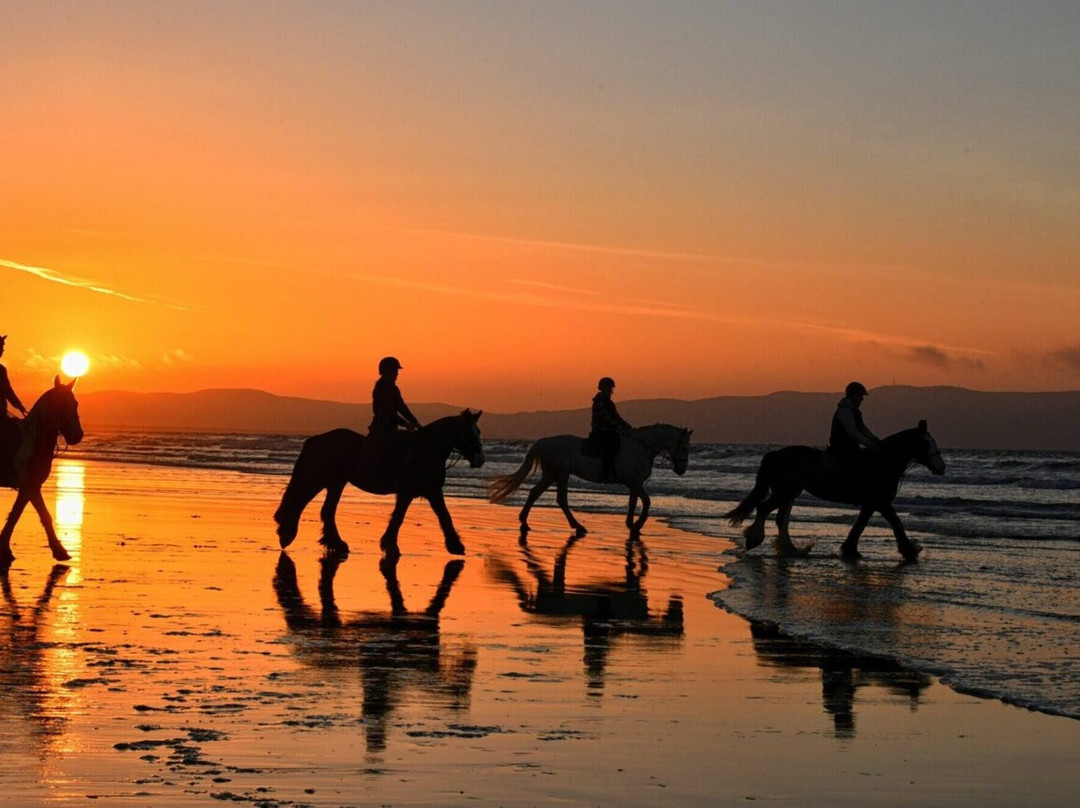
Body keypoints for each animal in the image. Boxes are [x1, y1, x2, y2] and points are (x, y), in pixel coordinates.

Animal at [0, 377, 84, 567]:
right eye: (61, 403)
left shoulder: (28, 488)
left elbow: (15, 515)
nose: (77, 436)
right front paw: (60, 551)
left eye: (75, 403)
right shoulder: (30, 486)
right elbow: (45, 515)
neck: (36, 440)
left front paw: (5, 550)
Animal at [274, 409, 484, 559]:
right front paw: (391, 545)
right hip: (323, 479)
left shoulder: (426, 491)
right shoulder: (416, 491)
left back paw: (330, 542)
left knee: (323, 509)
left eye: (479, 432)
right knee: (302, 501)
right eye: (469, 433)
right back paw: (289, 534)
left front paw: (455, 546)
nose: (480, 460)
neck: (425, 448)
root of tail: (317, 439)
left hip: (335, 482)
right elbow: (407, 517)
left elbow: (439, 516)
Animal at [487, 423, 692, 537]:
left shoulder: (635, 484)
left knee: (535, 493)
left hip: (551, 474)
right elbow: (643, 502)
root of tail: (543, 441)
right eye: (684, 447)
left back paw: (524, 522)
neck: (641, 447)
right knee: (561, 499)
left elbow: (638, 503)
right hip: (561, 474)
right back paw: (578, 526)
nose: (681, 470)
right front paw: (636, 525)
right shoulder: (634, 483)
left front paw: (633, 525)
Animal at [725, 420, 945, 561]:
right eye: (926, 443)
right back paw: (755, 540)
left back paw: (791, 549)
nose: (941, 467)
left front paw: (850, 550)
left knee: (780, 519)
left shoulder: (871, 503)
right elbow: (896, 523)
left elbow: (860, 525)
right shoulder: (881, 502)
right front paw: (910, 552)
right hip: (785, 492)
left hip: (789, 493)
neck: (882, 463)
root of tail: (777, 453)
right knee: (764, 509)